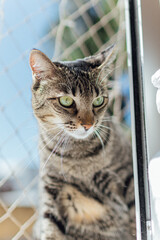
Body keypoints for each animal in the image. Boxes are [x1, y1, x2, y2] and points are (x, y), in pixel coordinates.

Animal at [29, 45, 135, 240]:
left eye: (98, 101)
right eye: (66, 101)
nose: (88, 124)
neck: (78, 156)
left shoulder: (127, 177)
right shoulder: (53, 189)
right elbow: (51, 229)